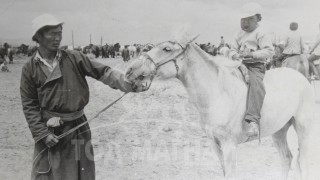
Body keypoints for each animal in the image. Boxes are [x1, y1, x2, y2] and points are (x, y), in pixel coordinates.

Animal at [125, 34, 320, 179]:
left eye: (167, 49)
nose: (130, 71)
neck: (218, 94)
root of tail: (300, 77)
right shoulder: (214, 144)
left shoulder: (229, 146)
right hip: (279, 130)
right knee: (286, 159)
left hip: (303, 128)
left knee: (303, 162)